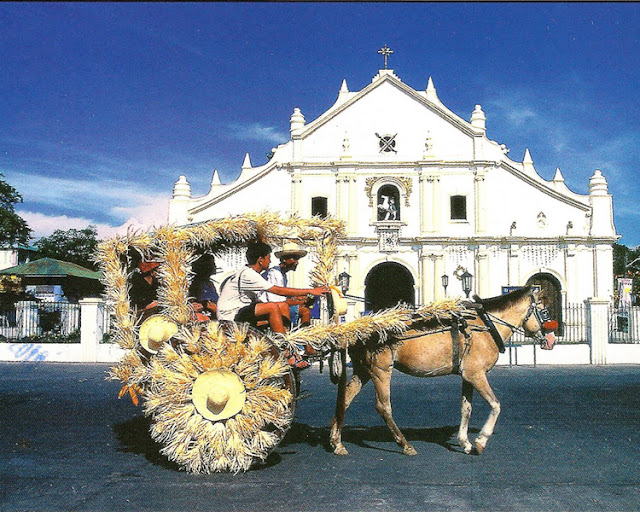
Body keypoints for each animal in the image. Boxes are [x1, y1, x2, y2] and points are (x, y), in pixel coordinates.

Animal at [330, 286, 556, 458]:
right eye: (544, 312)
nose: (552, 340)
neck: (486, 325)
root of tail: (359, 328)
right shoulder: (477, 375)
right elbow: (495, 405)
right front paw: (480, 440)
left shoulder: (467, 376)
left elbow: (466, 408)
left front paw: (465, 442)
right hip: (381, 370)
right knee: (383, 406)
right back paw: (405, 444)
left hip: (364, 370)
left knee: (345, 399)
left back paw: (336, 442)